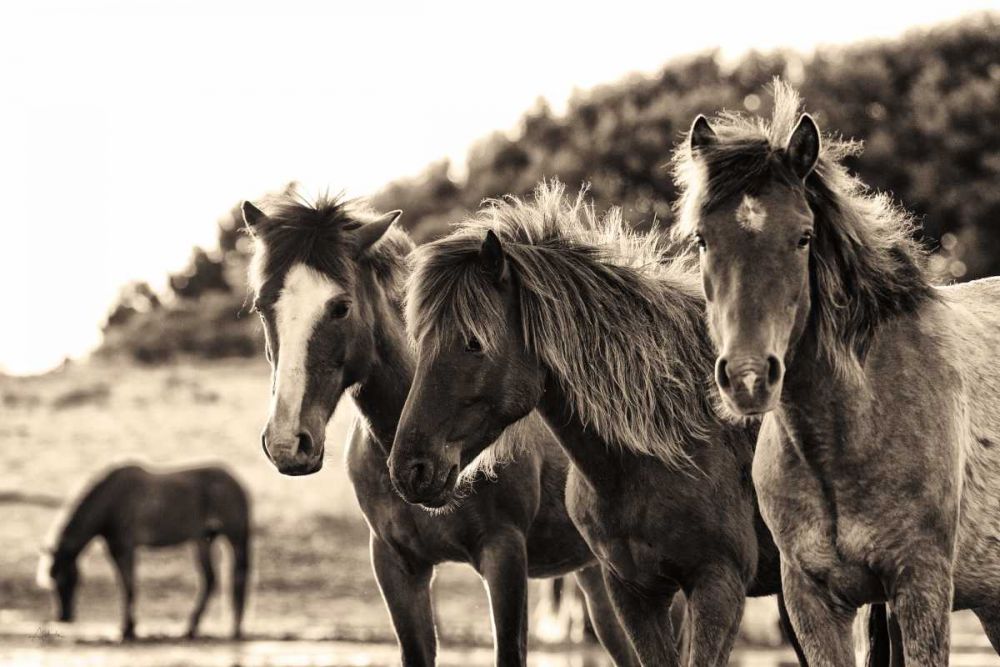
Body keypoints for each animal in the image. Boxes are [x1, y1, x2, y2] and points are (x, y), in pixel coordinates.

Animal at [37, 463, 250, 640]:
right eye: (52, 580)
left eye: (68, 579)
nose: (64, 617)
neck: (112, 499)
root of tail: (236, 483)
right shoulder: (115, 550)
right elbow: (125, 586)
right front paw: (128, 627)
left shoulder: (125, 549)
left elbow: (129, 586)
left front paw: (128, 629)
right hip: (203, 541)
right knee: (210, 580)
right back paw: (194, 629)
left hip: (234, 539)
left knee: (237, 577)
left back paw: (228, 629)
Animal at [241, 192, 638, 667]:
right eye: (263, 306)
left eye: (340, 307)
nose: (287, 443)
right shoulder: (396, 565)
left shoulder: (504, 556)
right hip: (599, 581)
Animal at [387, 181, 841, 666]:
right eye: (420, 340)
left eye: (473, 342)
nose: (410, 469)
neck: (659, 448)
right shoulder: (633, 592)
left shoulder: (718, 586)